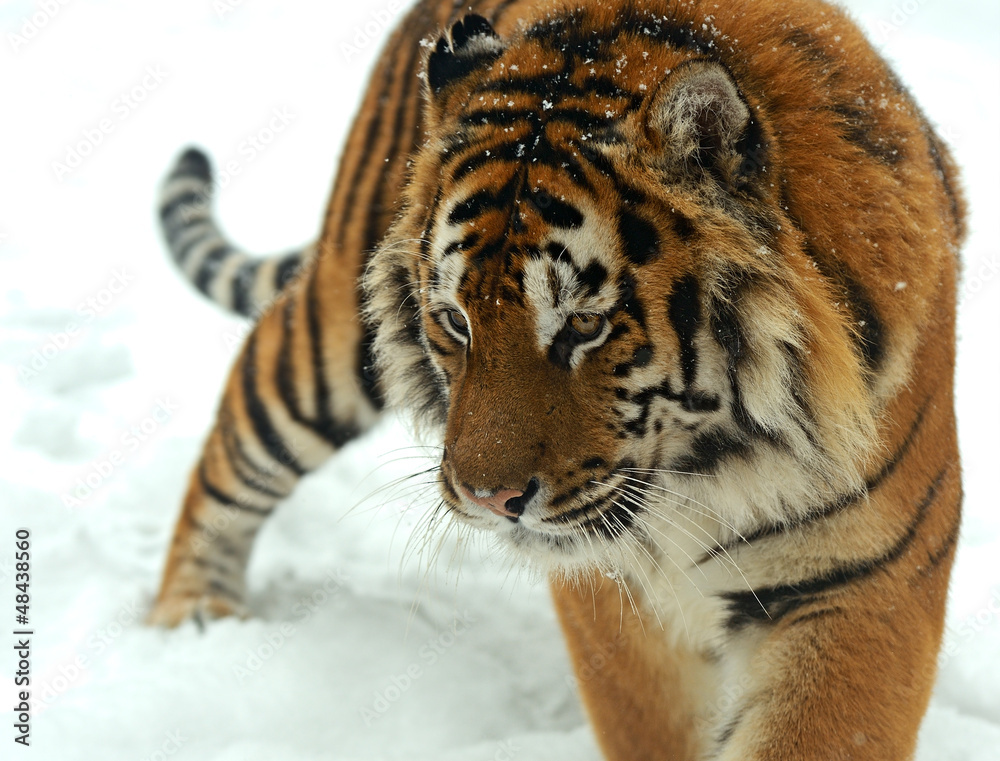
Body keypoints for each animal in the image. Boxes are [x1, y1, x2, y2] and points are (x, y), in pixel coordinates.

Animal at [148, 0, 966, 758]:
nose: (488, 500)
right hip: (332, 330)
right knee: (240, 427)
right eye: (455, 321)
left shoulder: (862, 576)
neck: (707, 462)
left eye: (583, 325)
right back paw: (192, 618)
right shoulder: (612, 589)